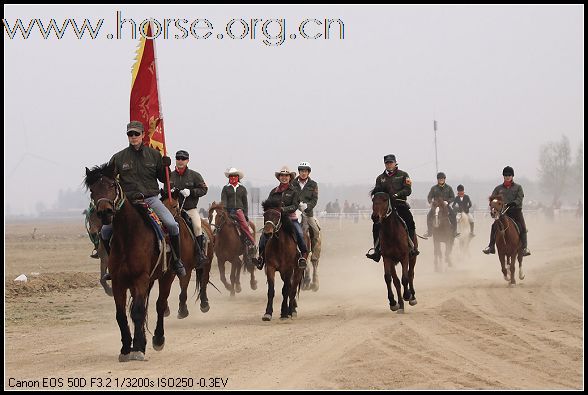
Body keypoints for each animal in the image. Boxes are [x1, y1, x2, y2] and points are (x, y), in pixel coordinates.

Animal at [84, 163, 175, 362]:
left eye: (112, 184)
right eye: (92, 190)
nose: (105, 211)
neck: (128, 236)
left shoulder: (141, 278)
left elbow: (138, 311)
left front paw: (138, 349)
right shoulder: (119, 281)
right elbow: (122, 315)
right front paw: (126, 348)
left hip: (166, 277)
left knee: (159, 305)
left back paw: (158, 339)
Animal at [162, 190, 215, 318]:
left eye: (174, 206)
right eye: (161, 204)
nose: (164, 224)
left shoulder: (187, 269)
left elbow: (183, 289)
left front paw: (182, 310)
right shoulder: (169, 271)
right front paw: (165, 309)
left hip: (207, 263)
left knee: (204, 281)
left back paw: (204, 304)